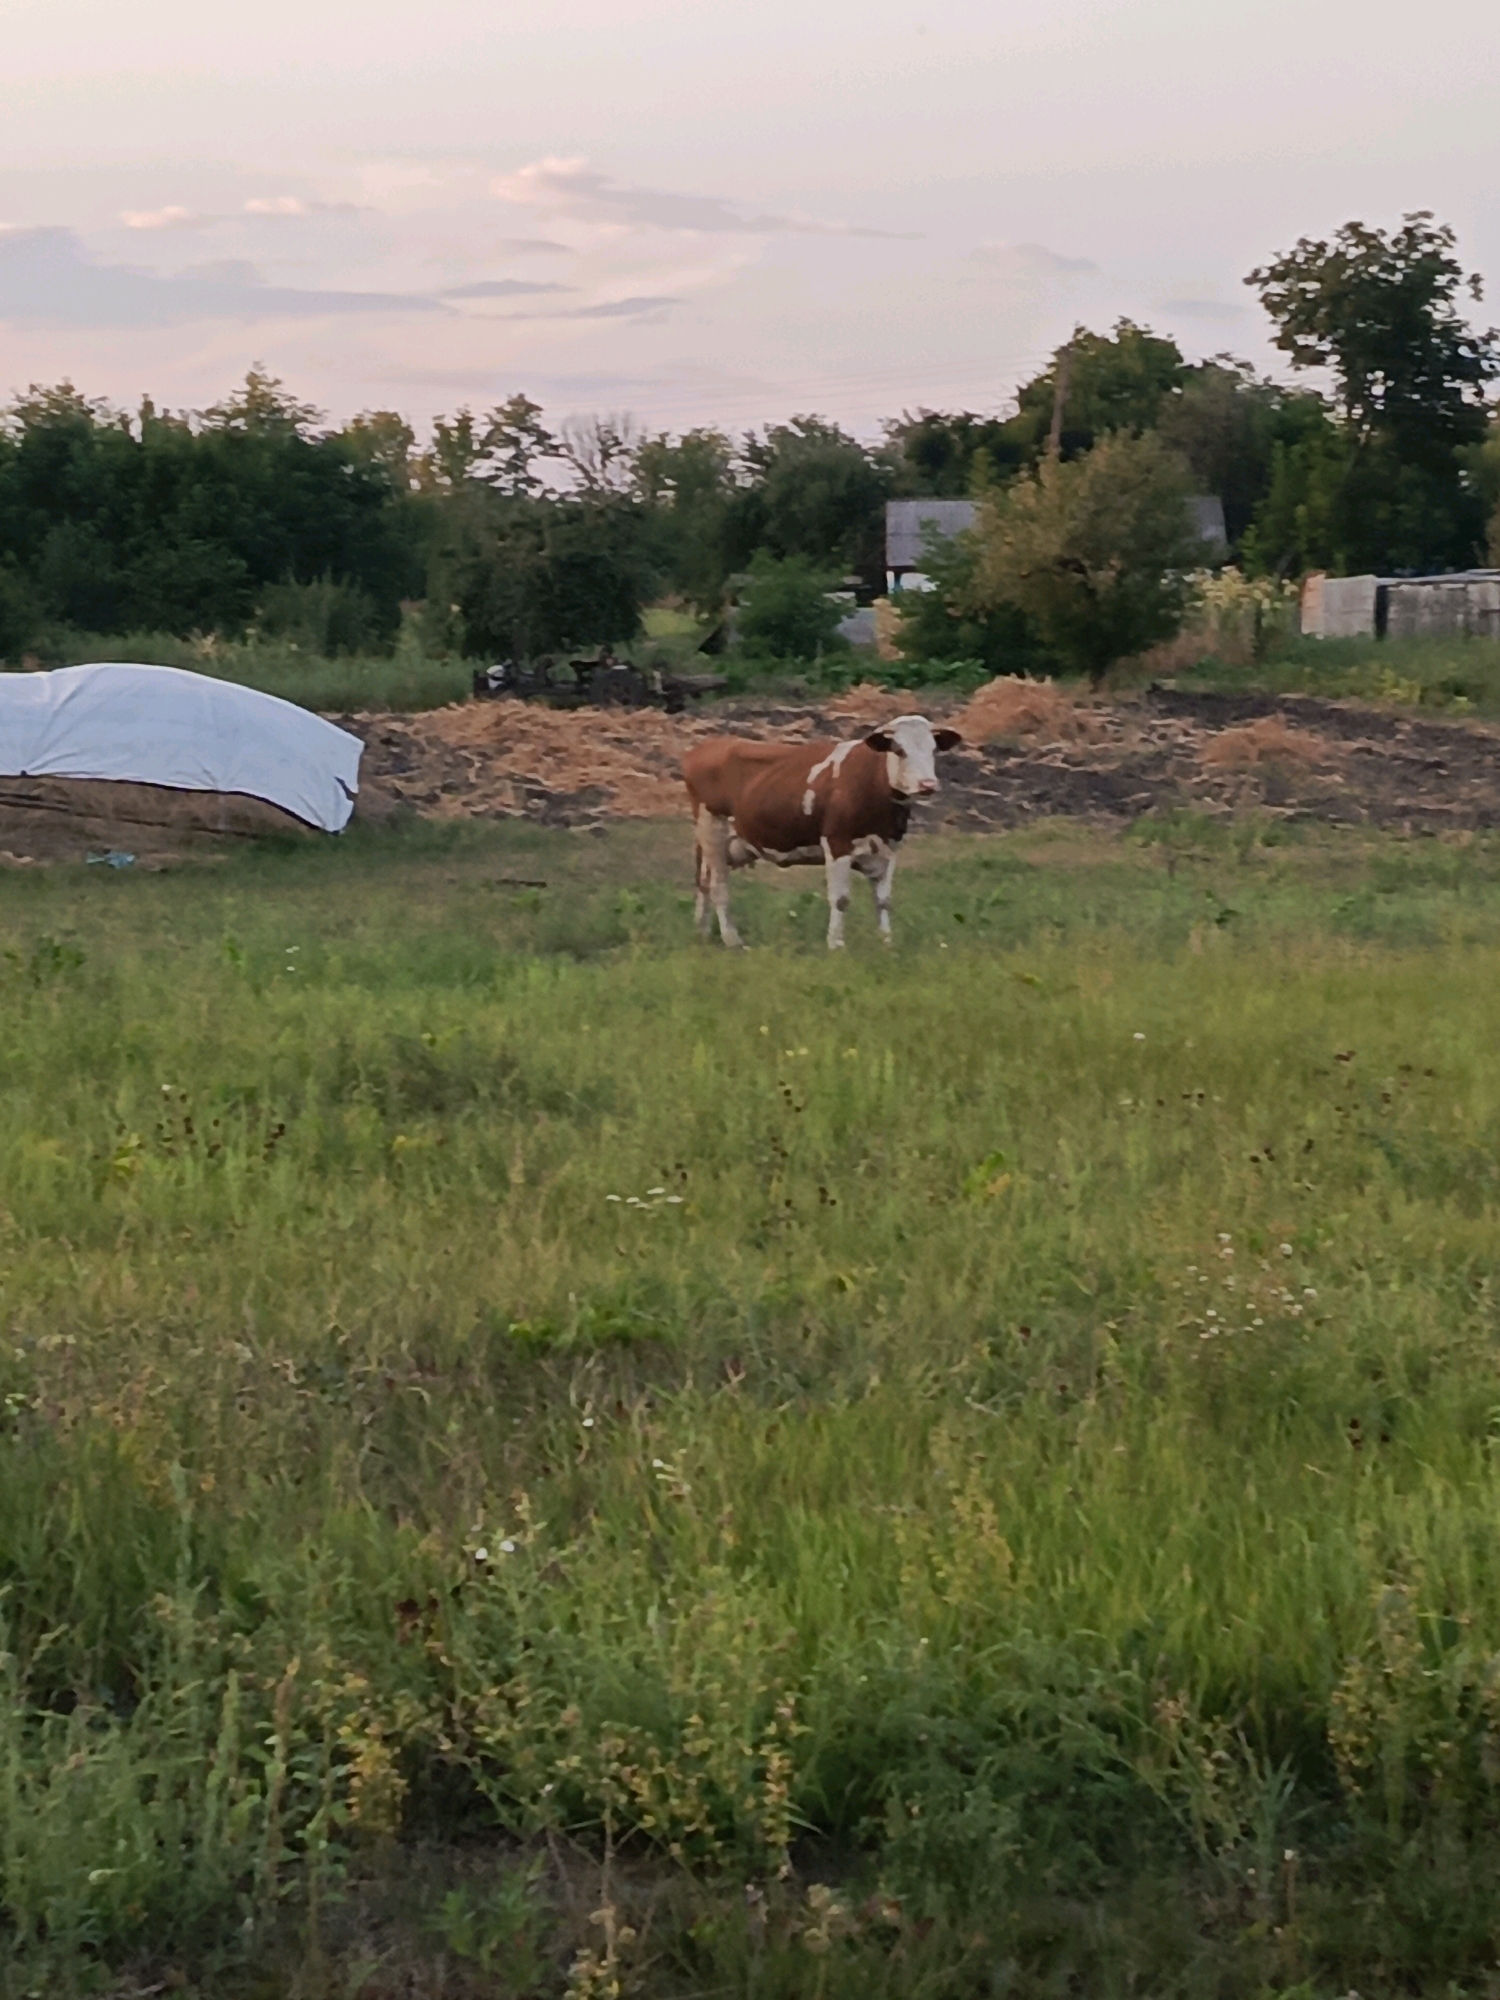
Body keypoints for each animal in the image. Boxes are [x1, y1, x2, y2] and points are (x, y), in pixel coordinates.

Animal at [682, 713, 962, 949]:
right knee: (718, 886)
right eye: (899, 750)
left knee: (703, 881)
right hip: (713, 830)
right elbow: (840, 898)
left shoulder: (889, 849)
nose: (927, 785)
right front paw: (836, 945)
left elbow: (883, 901)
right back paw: (733, 940)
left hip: (724, 842)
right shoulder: (838, 843)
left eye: (934, 749)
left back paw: (702, 933)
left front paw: (886, 942)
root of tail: (703, 747)